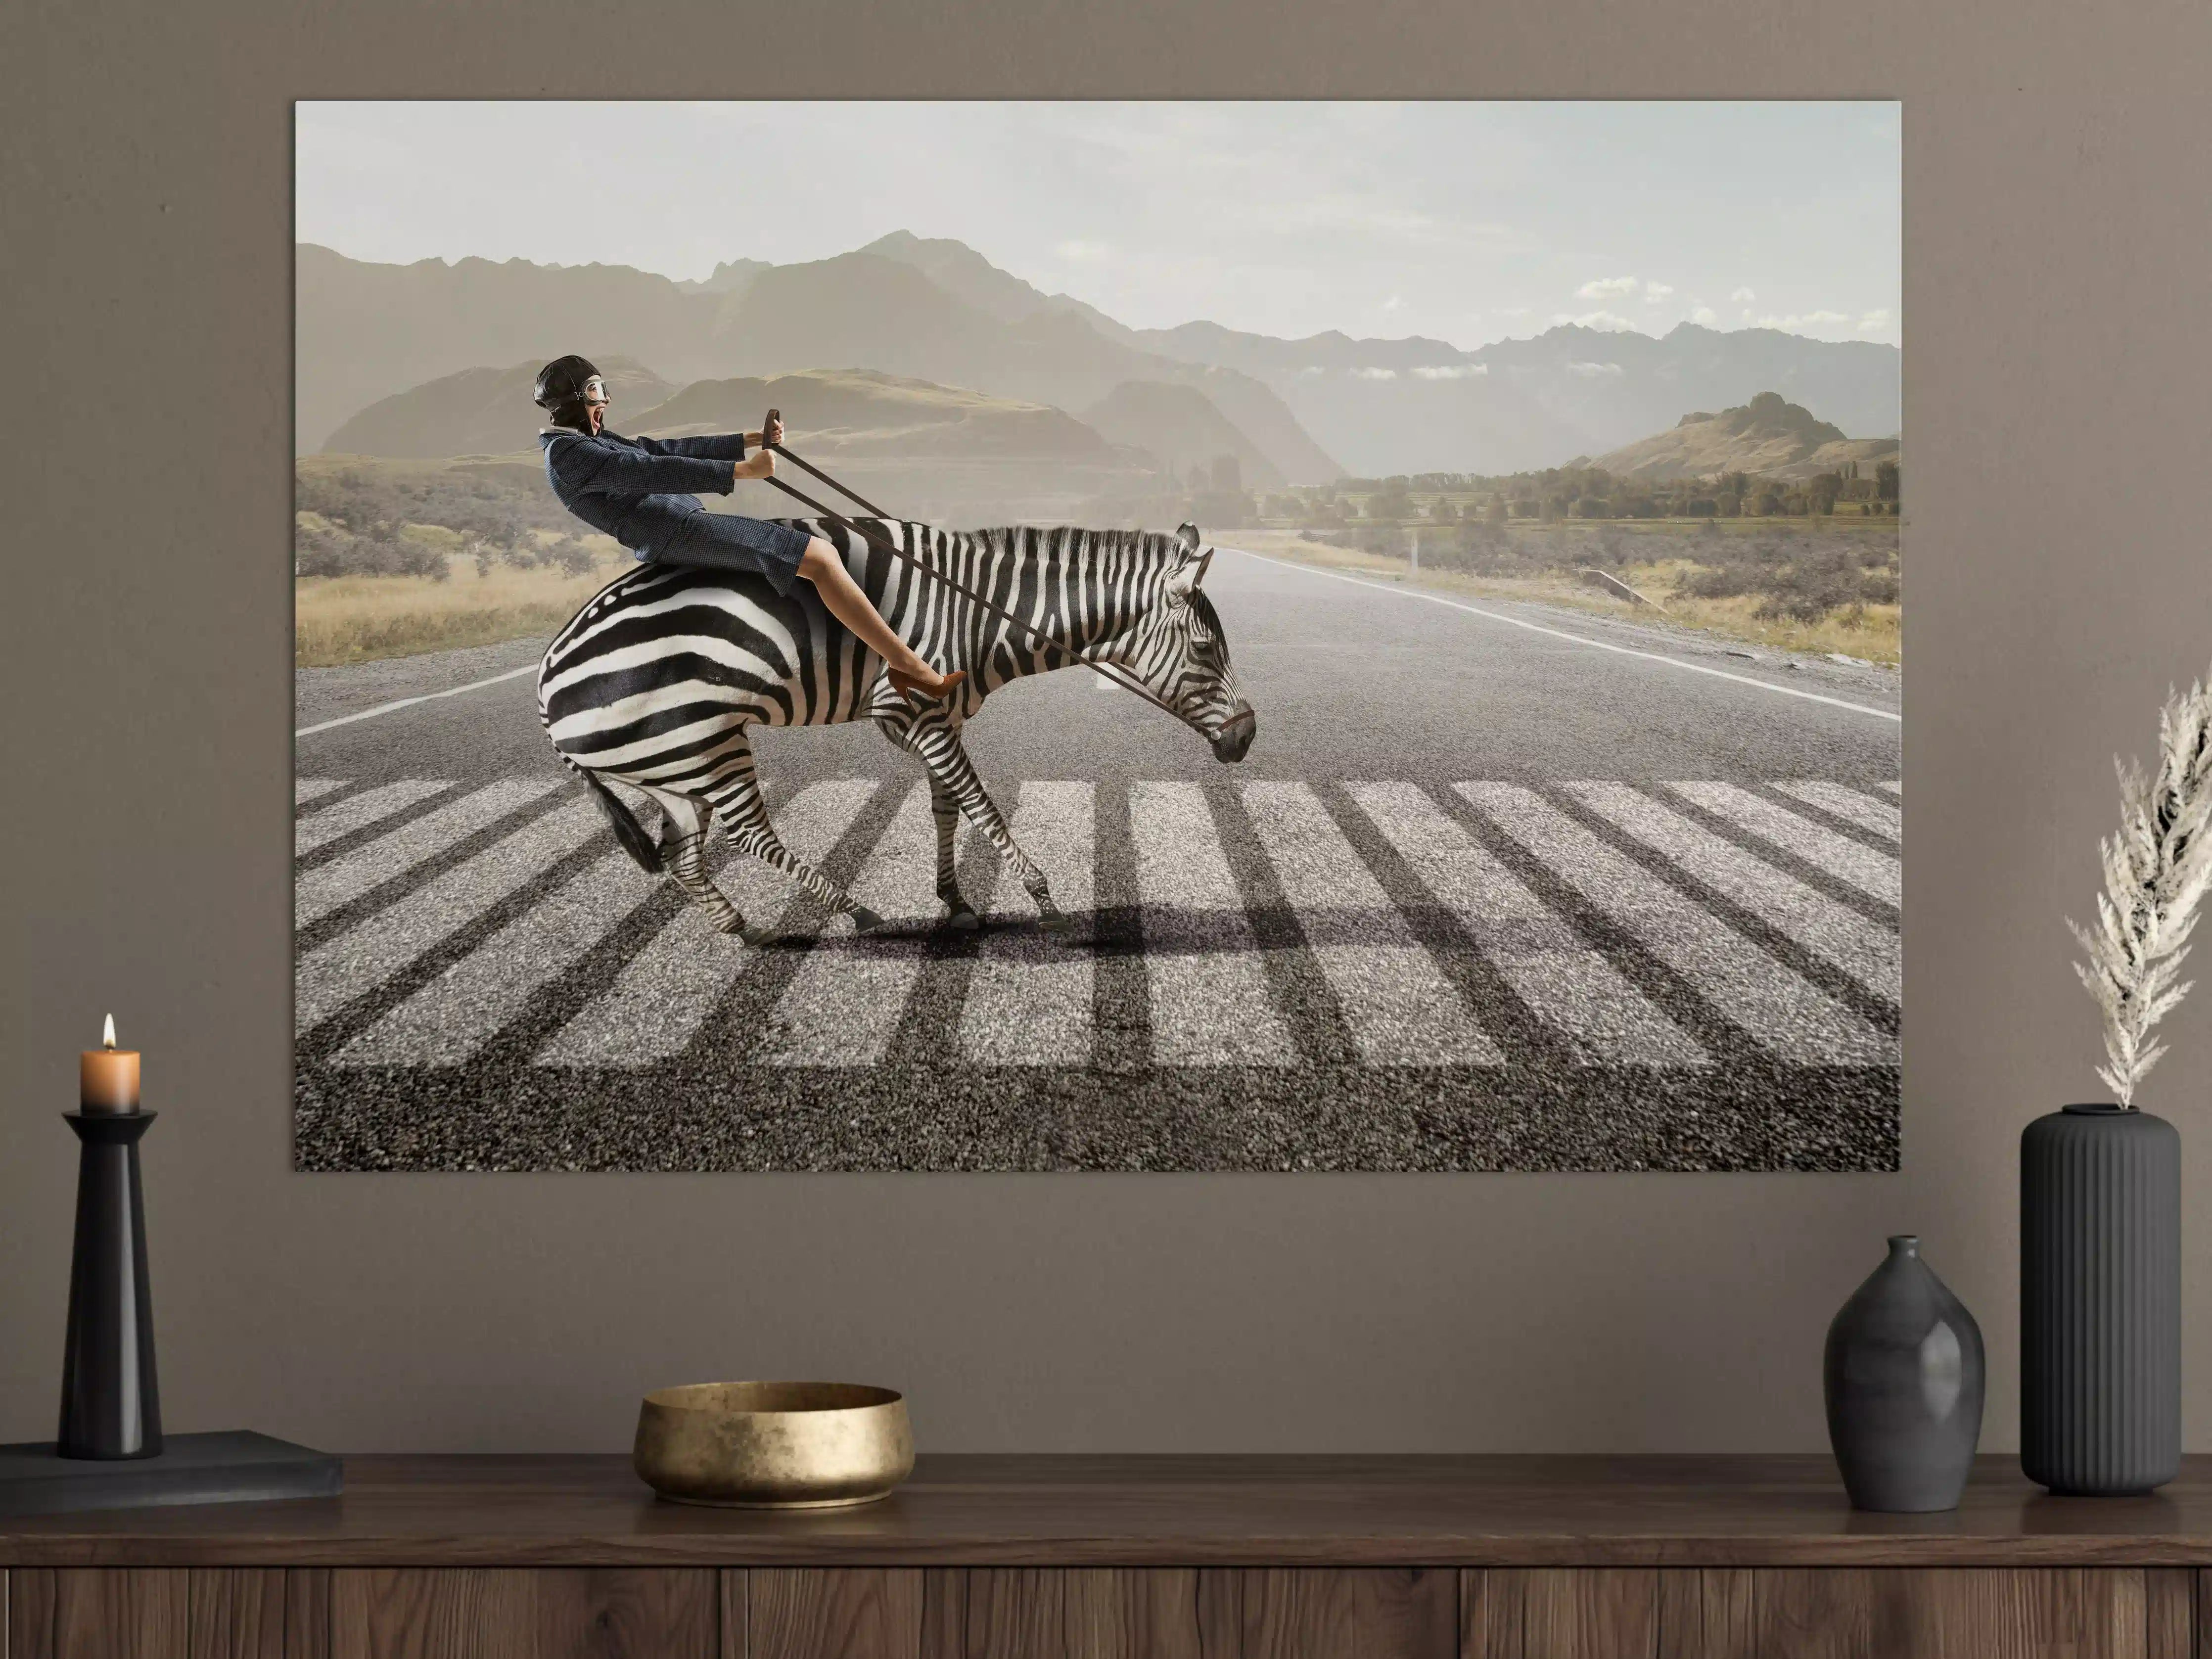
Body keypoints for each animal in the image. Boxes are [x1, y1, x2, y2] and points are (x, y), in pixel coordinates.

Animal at [536, 517, 1256, 942]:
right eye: (1204, 649)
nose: (1247, 737)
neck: (974, 609)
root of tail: (545, 679)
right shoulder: (910, 711)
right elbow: (981, 805)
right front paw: (1041, 894)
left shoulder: (937, 717)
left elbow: (947, 806)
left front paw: (956, 900)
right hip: (699, 746)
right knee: (750, 834)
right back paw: (853, 910)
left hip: (671, 768)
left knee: (685, 859)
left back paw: (741, 928)